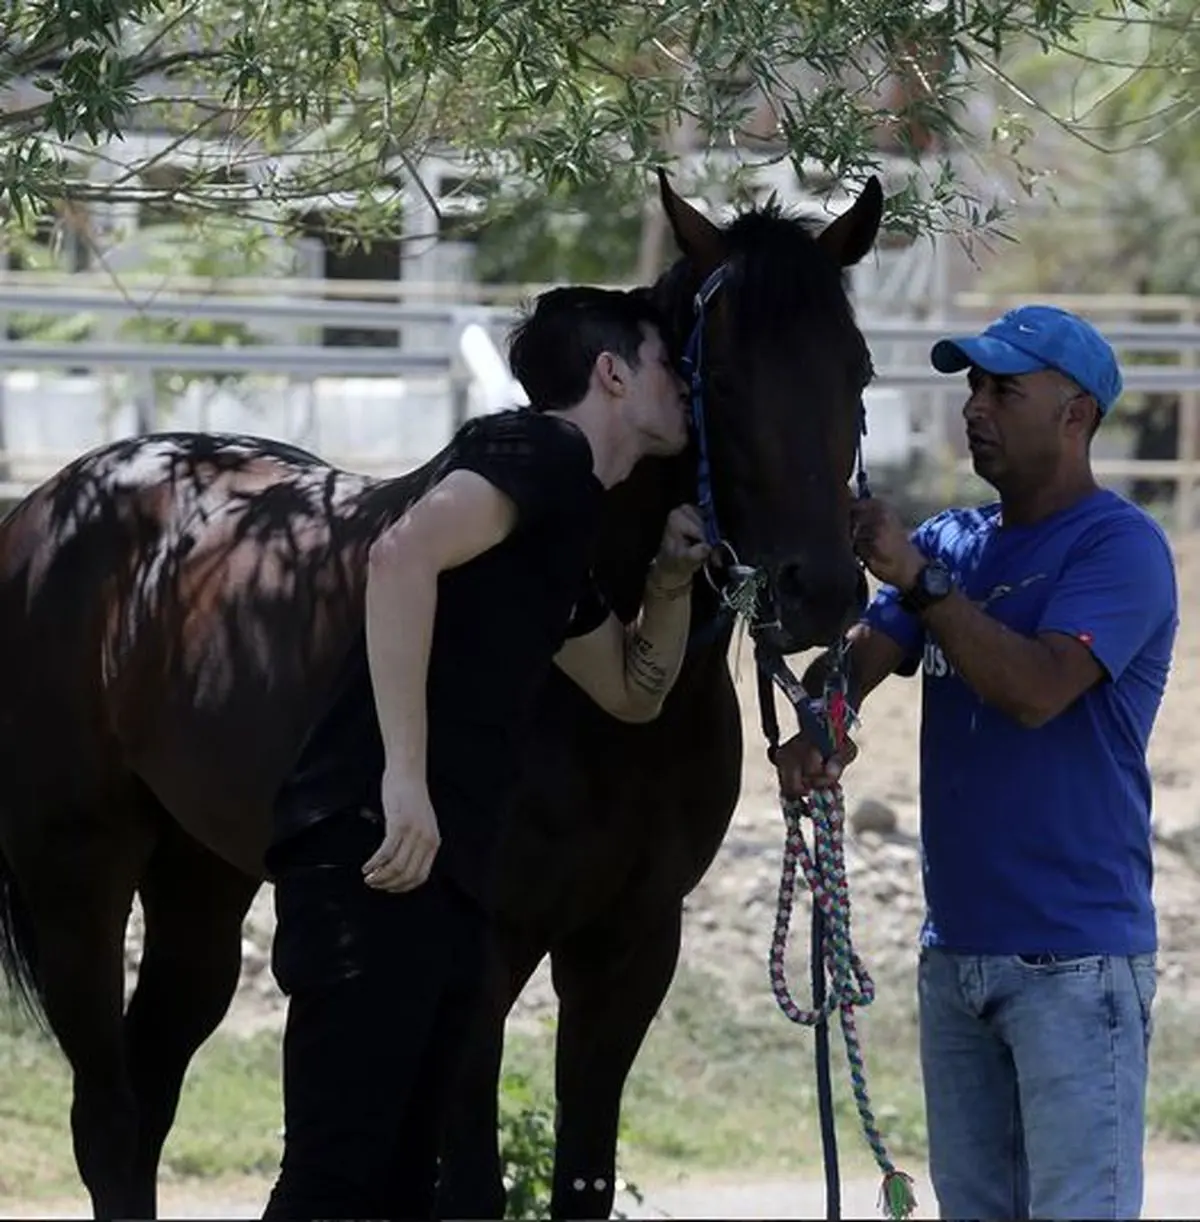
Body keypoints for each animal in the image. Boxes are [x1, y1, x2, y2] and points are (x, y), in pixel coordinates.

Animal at [0, 174, 884, 1222]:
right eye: (722, 381)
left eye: (859, 370)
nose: (819, 592)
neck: (605, 728)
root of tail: (49, 506)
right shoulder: (486, 957)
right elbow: (467, 1186)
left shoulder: (630, 949)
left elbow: (583, 1178)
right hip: (77, 875)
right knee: (108, 1119)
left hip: (200, 878)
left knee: (150, 1094)